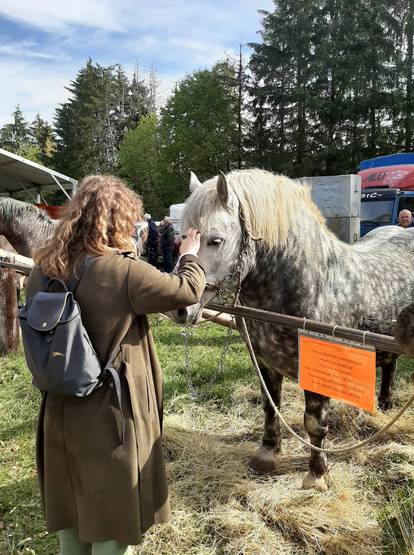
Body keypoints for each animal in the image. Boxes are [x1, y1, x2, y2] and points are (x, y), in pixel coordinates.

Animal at [170, 168, 414, 490]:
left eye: (216, 240)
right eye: (181, 238)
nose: (178, 308)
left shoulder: (319, 370)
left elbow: (315, 423)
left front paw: (317, 474)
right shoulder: (264, 362)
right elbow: (270, 406)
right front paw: (267, 454)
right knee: (389, 365)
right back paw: (384, 406)